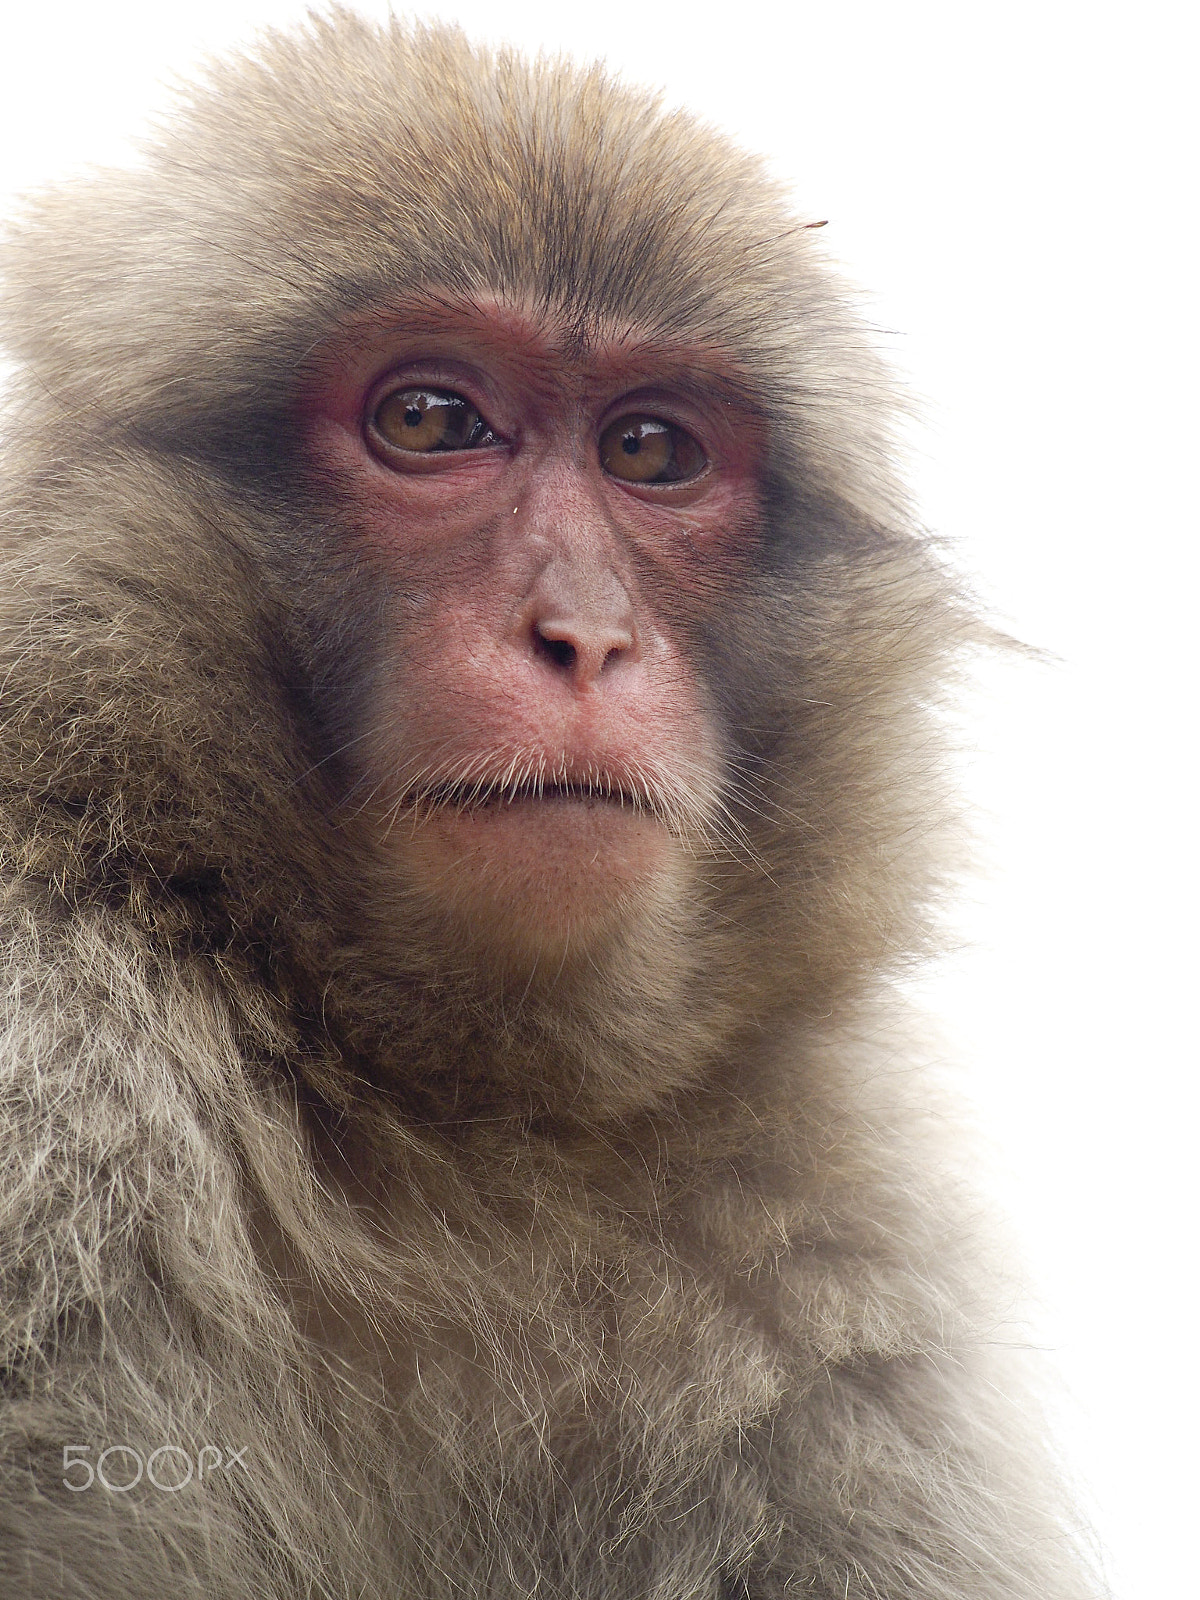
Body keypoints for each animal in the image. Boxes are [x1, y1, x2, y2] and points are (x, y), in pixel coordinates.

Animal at [0, 12, 1100, 1600]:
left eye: (651, 450)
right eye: (429, 418)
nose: (584, 636)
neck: (444, 1103)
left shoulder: (841, 1281)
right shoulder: (56, 1064)